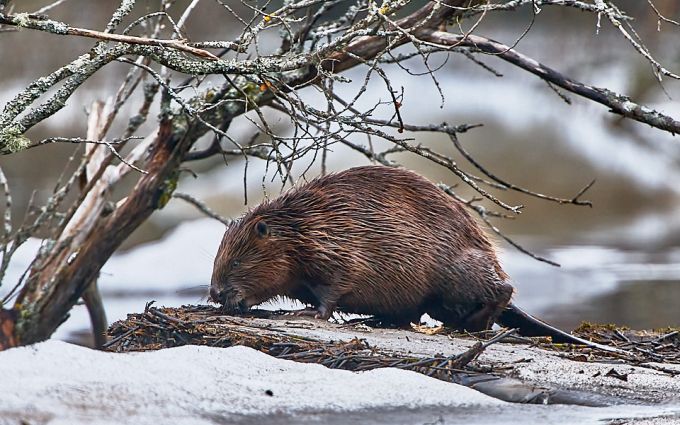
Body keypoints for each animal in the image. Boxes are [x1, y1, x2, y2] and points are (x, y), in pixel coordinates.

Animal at [211, 165, 596, 344]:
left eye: (236, 261)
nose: (215, 292)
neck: (302, 225)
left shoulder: (337, 249)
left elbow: (333, 289)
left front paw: (303, 314)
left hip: (459, 270)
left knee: (502, 290)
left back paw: (473, 322)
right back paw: (373, 320)